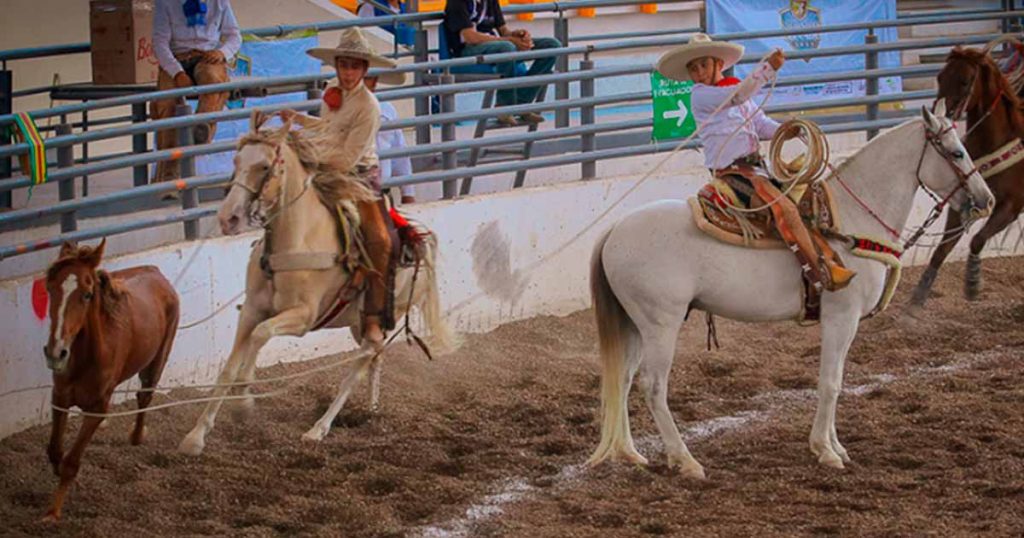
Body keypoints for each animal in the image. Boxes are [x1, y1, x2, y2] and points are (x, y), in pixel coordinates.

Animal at [42, 239, 180, 520]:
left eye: (87, 294)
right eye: (50, 289)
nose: (56, 352)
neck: (87, 357)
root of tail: (156, 272)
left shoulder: (98, 408)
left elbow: (71, 462)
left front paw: (53, 511)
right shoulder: (59, 397)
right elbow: (55, 451)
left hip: (157, 360)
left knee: (145, 395)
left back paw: (137, 436)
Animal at [178, 115, 458, 454]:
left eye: (264, 166)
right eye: (236, 161)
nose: (228, 218)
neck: (297, 239)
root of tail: (419, 239)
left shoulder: (302, 317)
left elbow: (261, 336)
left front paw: (243, 403)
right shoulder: (252, 310)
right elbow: (228, 368)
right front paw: (196, 436)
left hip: (384, 313)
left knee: (361, 360)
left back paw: (318, 428)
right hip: (359, 322)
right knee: (373, 357)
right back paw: (371, 409)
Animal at [589, 106, 995, 477]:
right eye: (957, 152)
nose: (986, 199)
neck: (849, 221)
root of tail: (614, 230)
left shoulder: (846, 322)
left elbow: (837, 378)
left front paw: (835, 446)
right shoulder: (841, 317)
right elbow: (830, 382)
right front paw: (825, 451)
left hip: (635, 323)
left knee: (623, 379)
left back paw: (630, 453)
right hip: (662, 324)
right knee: (653, 386)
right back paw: (685, 460)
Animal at [913, 46, 1024, 305]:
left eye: (964, 81)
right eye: (939, 77)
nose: (939, 117)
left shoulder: (1011, 205)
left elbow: (977, 240)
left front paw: (973, 284)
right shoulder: (963, 200)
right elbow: (941, 249)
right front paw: (919, 295)